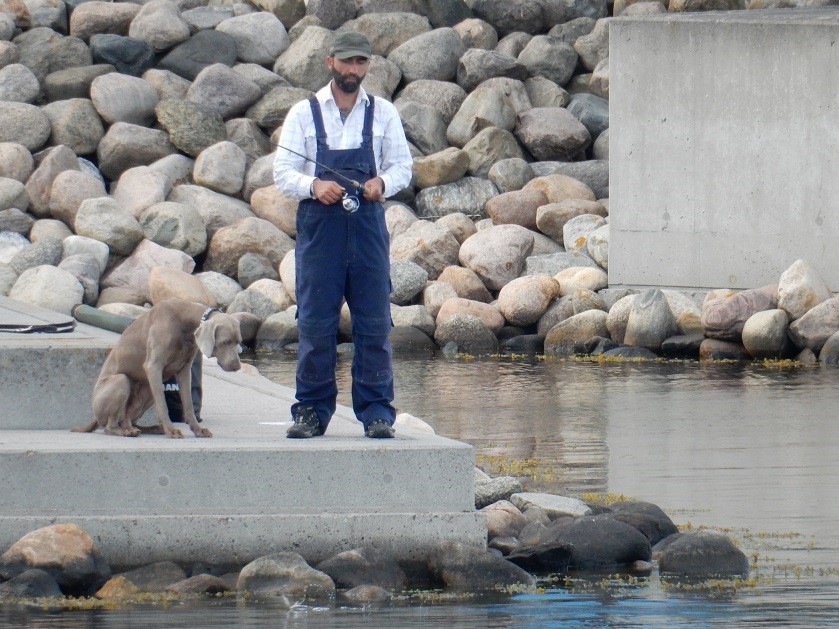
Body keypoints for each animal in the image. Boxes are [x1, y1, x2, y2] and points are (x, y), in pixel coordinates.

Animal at [72, 298, 244, 436]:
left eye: (238, 341)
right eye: (225, 342)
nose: (236, 367)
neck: (185, 322)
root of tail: (95, 417)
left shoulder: (184, 370)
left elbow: (188, 403)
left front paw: (197, 429)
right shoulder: (153, 366)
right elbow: (163, 405)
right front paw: (171, 430)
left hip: (147, 391)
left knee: (128, 419)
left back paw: (146, 429)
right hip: (121, 381)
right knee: (110, 426)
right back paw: (127, 432)